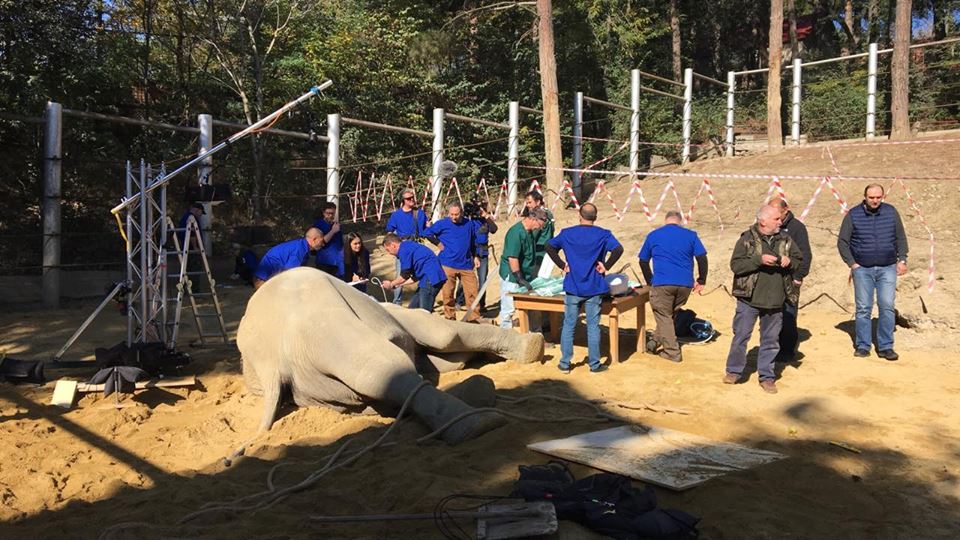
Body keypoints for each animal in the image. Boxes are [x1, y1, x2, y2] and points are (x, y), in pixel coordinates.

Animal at [236, 268, 544, 446]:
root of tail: (269, 364)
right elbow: (441, 338)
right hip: (320, 332)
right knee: (383, 367)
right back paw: (478, 422)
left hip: (314, 375)